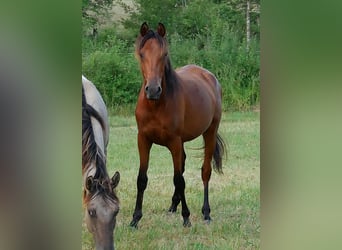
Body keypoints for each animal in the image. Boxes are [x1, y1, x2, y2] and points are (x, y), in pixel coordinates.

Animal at [130, 22, 226, 228]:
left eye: (164, 54)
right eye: (142, 54)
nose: (153, 90)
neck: (156, 105)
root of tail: (209, 77)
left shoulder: (174, 141)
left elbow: (178, 179)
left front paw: (187, 217)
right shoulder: (143, 140)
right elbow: (142, 179)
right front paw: (135, 218)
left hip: (210, 132)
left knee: (205, 172)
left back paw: (206, 213)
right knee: (181, 166)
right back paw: (174, 205)